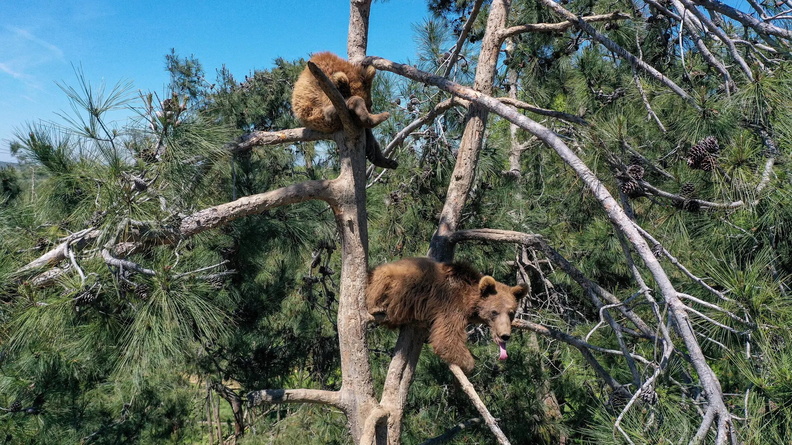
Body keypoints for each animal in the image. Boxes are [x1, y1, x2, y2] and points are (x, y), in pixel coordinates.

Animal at [366, 257, 528, 374]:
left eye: (511, 313)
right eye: (494, 312)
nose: (504, 335)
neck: (469, 300)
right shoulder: (450, 304)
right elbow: (447, 337)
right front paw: (469, 362)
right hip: (393, 280)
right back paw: (378, 306)